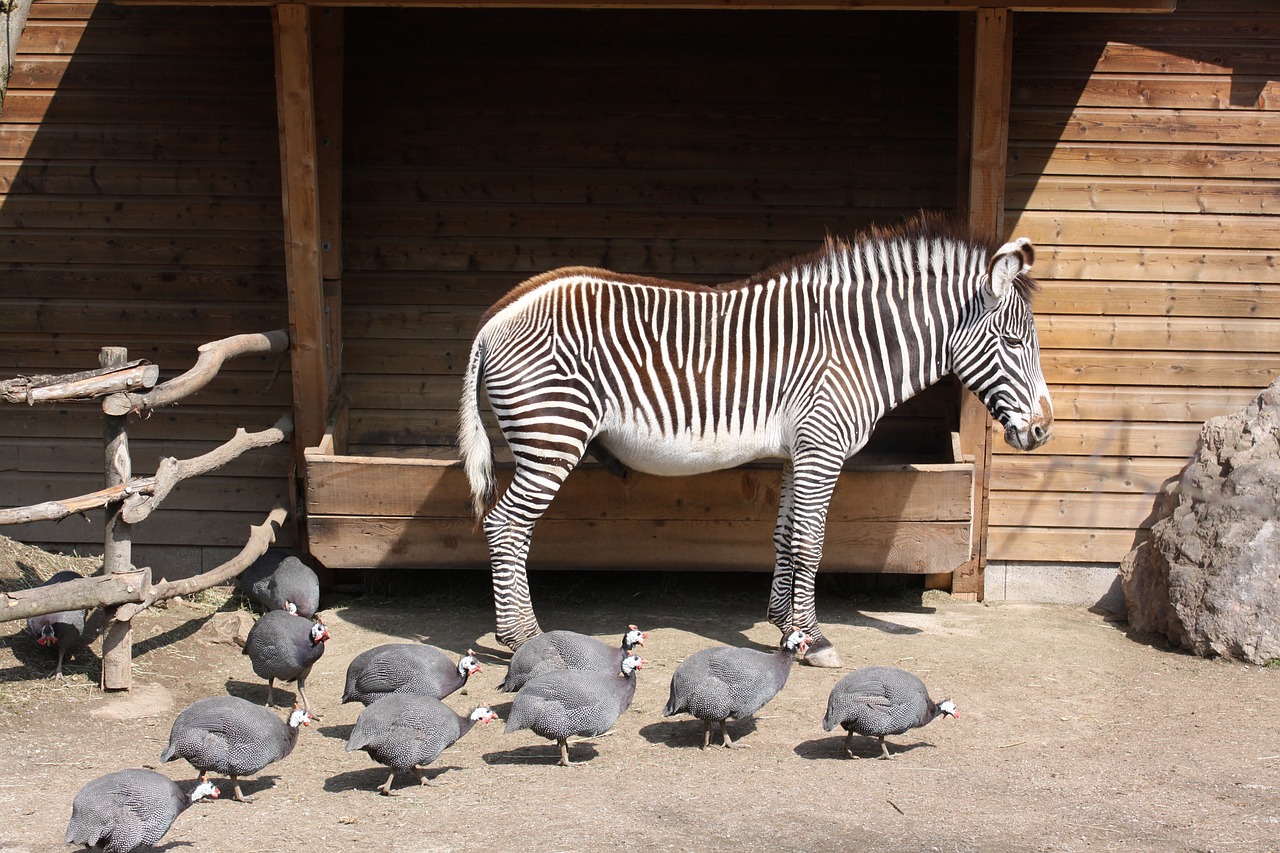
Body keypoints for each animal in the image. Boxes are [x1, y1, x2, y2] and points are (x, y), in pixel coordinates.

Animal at [460, 212, 1049, 666]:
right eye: (1012, 341)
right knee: (506, 527)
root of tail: (498, 314)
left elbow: (786, 537)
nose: (1042, 431)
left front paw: (785, 627)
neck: (855, 344)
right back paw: (522, 639)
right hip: (552, 436)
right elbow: (811, 542)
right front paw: (814, 639)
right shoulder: (822, 446)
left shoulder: (799, 452)